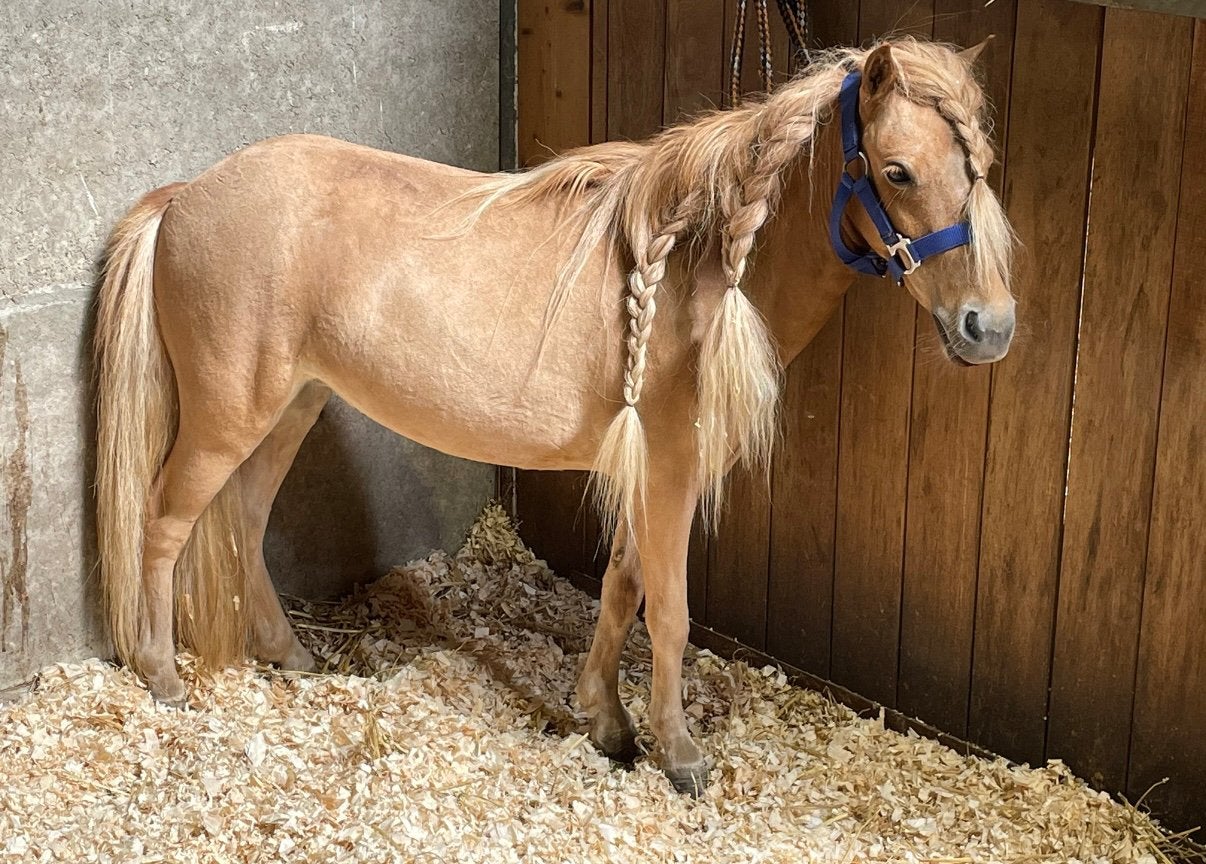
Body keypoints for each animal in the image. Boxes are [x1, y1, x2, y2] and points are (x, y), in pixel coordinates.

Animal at [94, 37, 1015, 795]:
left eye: (976, 168)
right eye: (896, 170)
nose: (989, 327)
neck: (693, 271)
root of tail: (186, 198)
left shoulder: (647, 473)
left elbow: (622, 587)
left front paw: (607, 722)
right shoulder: (670, 470)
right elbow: (670, 611)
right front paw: (680, 756)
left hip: (291, 405)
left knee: (244, 519)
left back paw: (290, 654)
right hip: (228, 415)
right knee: (165, 524)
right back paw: (162, 676)